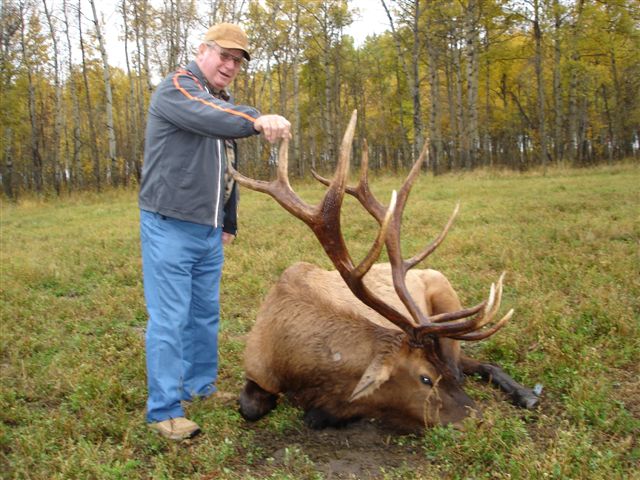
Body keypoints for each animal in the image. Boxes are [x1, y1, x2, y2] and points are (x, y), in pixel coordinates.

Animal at [230, 111, 539, 432]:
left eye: (439, 373)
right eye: (425, 378)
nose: (476, 417)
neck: (293, 367)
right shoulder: (255, 369)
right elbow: (250, 406)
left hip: (445, 299)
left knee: (476, 362)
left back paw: (527, 394)